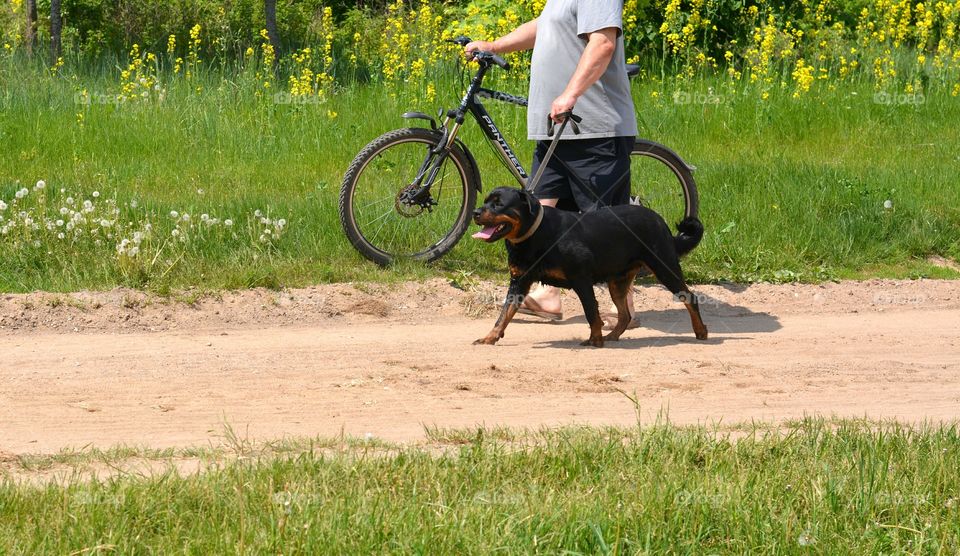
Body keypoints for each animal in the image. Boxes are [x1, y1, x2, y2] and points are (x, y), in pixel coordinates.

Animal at [472, 189, 704, 350]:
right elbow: (504, 314)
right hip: (617, 282)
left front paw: (595, 340)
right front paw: (490, 337)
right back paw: (613, 336)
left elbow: (591, 313)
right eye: (485, 201)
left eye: (499, 204)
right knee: (624, 315)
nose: (475, 212)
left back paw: (701, 331)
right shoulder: (518, 282)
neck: (535, 235)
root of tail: (659, 220)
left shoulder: (581, 280)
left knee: (690, 298)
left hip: (664, 267)